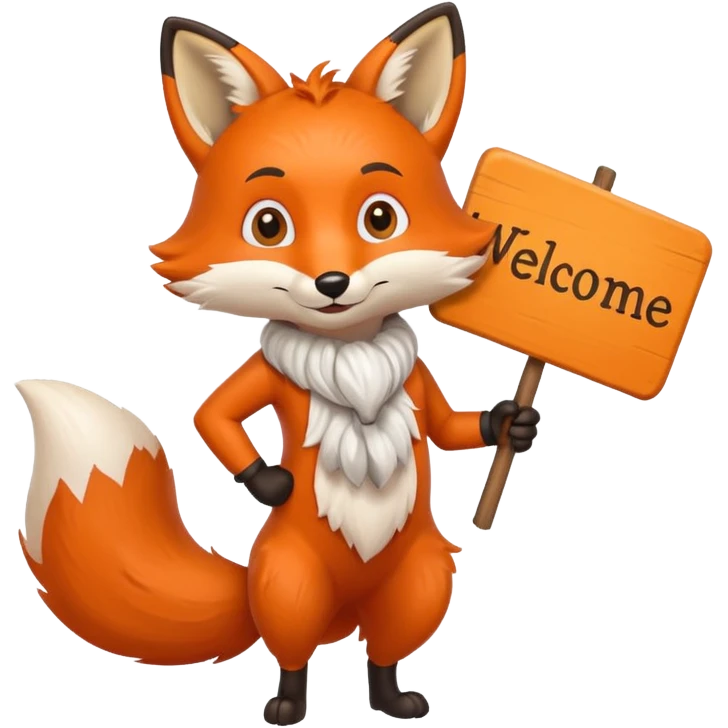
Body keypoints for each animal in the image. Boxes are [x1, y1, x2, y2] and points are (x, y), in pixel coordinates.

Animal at [16, 4, 541, 725]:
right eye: (269, 226)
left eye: (381, 218)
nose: (332, 281)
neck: (349, 352)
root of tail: (344, 612)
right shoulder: (260, 378)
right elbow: (212, 416)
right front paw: (275, 484)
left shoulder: (416, 379)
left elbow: (446, 427)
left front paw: (511, 423)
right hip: (289, 582)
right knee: (292, 650)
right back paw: (288, 705)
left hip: (423, 580)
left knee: (384, 648)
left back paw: (393, 697)